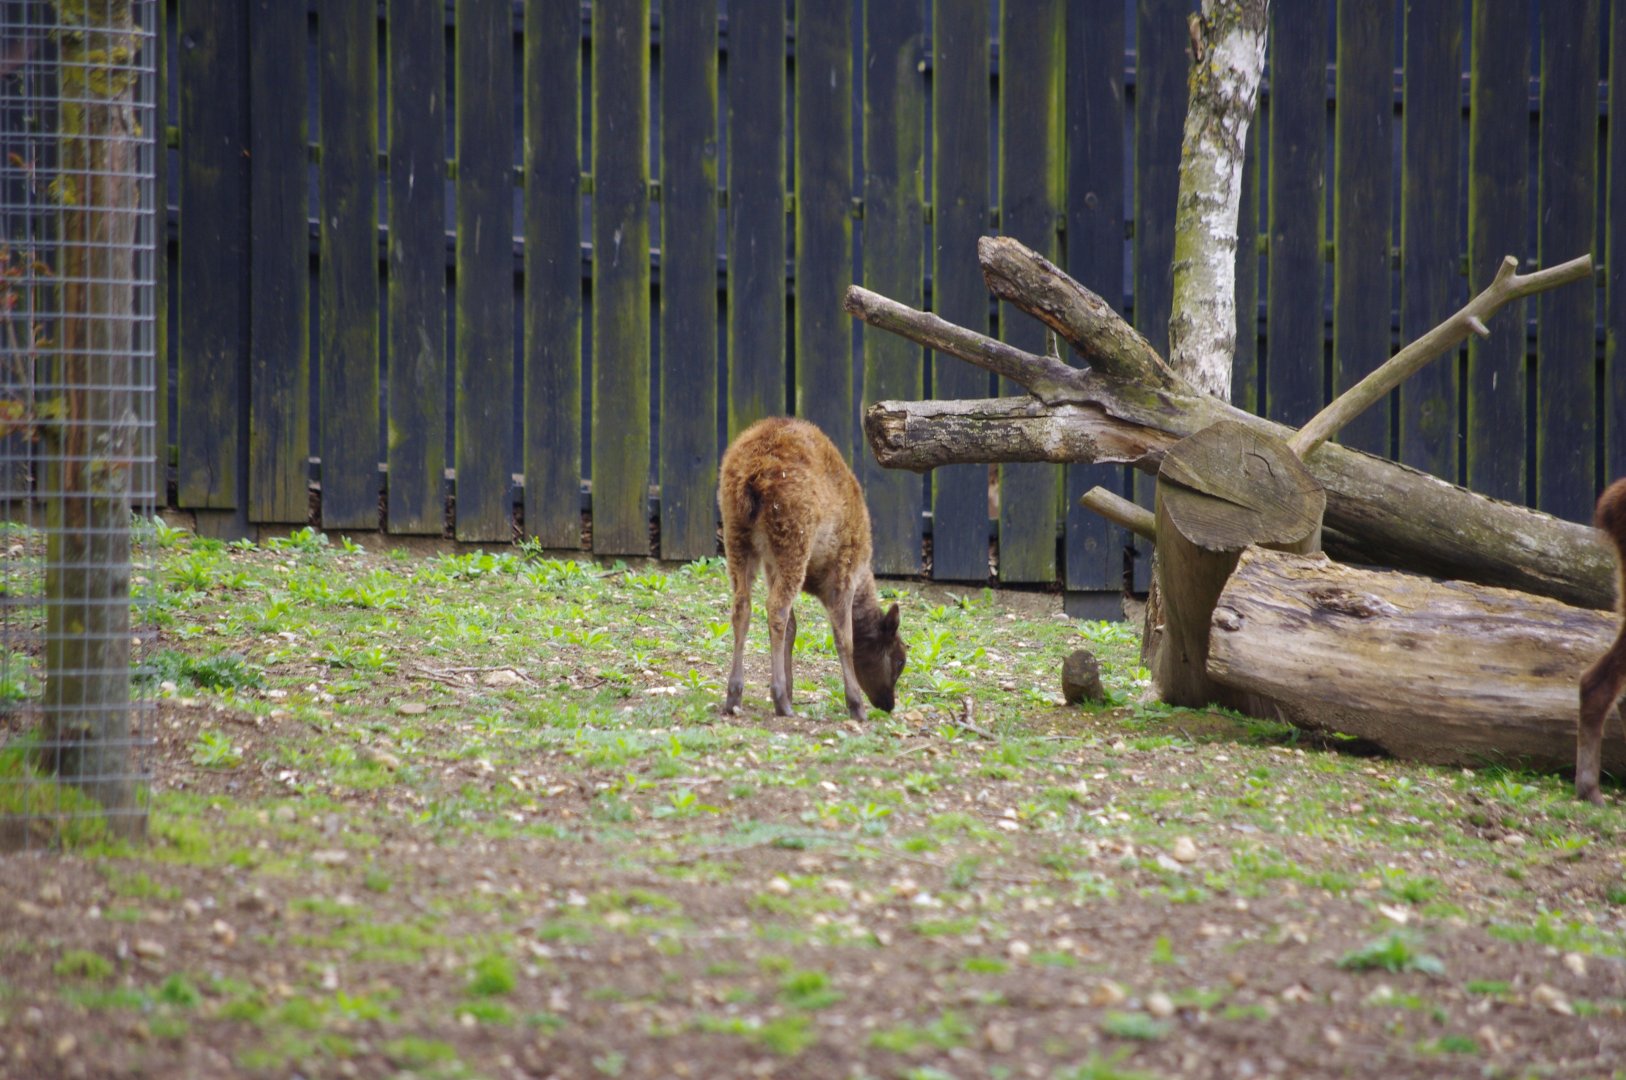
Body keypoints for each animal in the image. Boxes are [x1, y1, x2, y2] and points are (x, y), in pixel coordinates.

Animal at [718, 417, 906, 722]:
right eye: (900, 659)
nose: (888, 704)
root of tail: (752, 475)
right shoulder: (844, 571)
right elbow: (844, 637)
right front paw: (856, 706)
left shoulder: (771, 565)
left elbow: (794, 628)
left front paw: (790, 689)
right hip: (793, 539)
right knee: (776, 608)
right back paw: (779, 700)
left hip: (737, 536)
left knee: (742, 606)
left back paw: (735, 695)